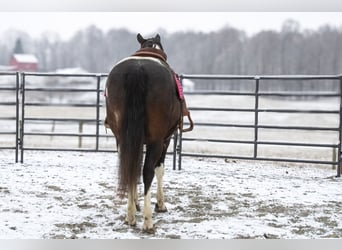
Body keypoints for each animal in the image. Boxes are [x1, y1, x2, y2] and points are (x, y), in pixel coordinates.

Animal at [104, 33, 190, 232]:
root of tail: (138, 70)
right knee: (147, 171)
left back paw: (130, 216)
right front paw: (160, 204)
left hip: (122, 138)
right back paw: (147, 219)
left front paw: (135, 204)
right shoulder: (165, 140)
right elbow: (159, 170)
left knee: (129, 166)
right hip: (156, 141)